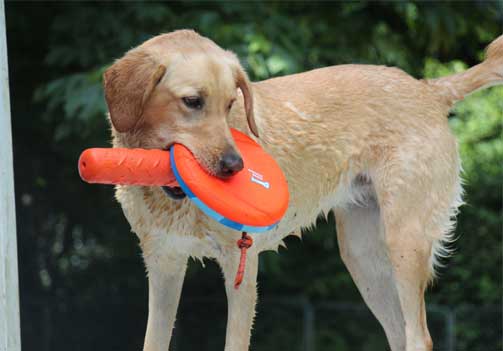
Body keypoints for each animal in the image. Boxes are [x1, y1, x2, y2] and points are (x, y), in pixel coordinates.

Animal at [103, 31, 503, 351]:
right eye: (191, 102)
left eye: (230, 104)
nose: (236, 166)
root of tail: (428, 88)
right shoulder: (164, 265)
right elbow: (154, 341)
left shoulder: (240, 265)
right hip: (363, 258)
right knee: (400, 334)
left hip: (404, 243)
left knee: (419, 337)